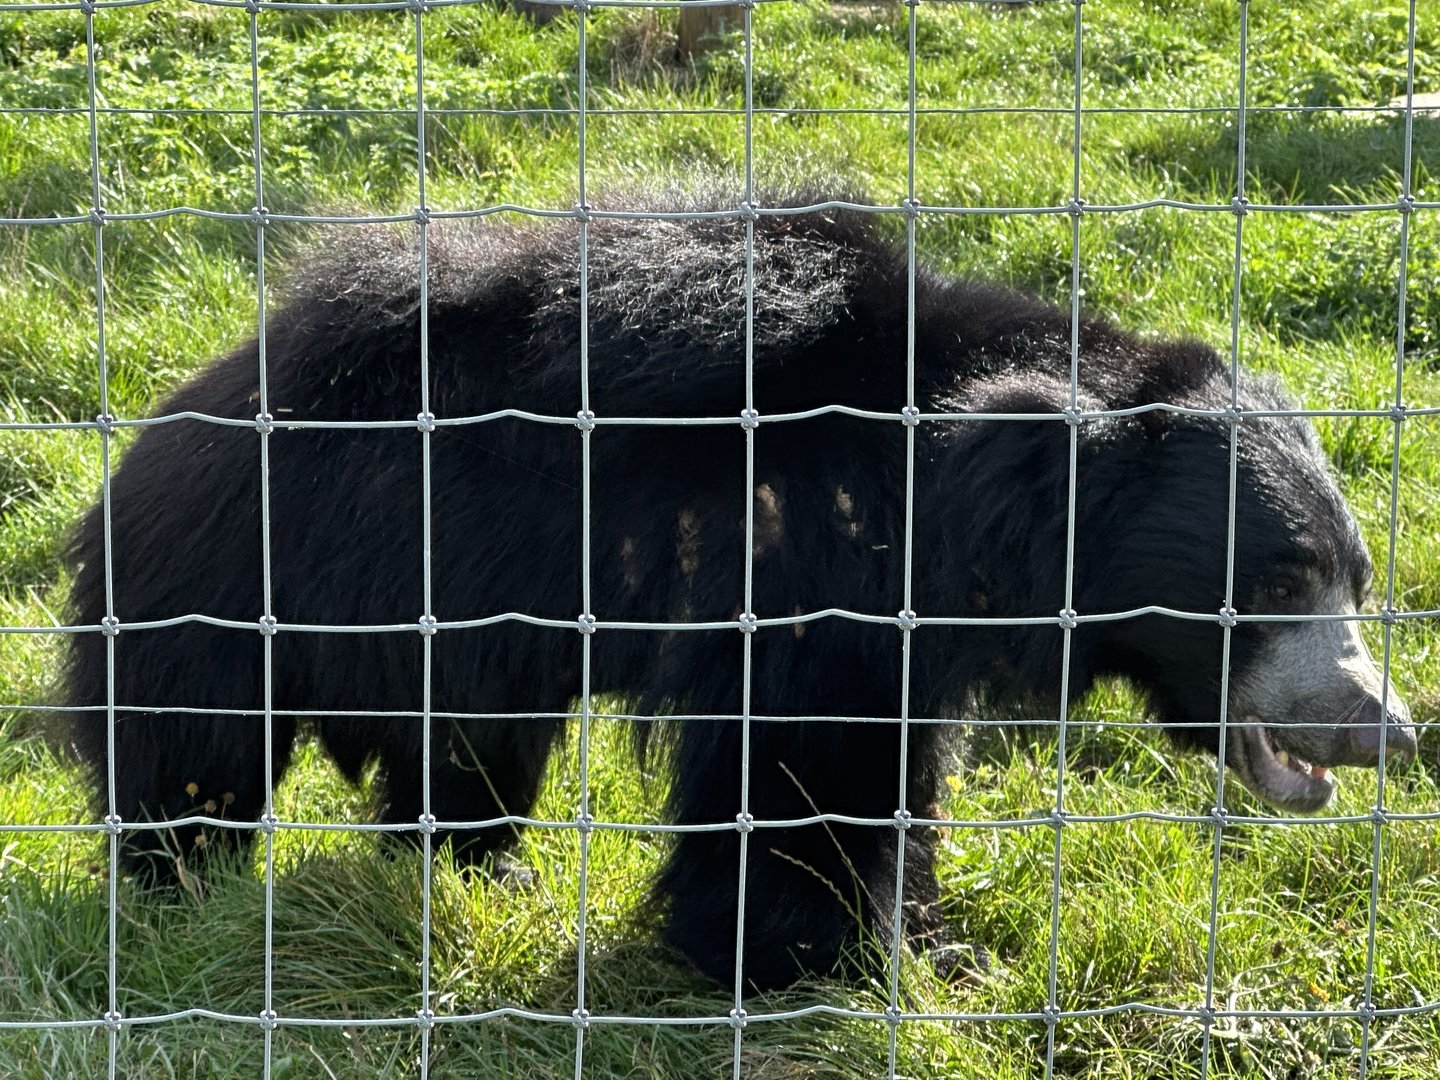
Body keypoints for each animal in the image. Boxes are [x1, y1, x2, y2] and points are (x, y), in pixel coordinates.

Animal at [64, 190, 1417, 991]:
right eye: (1278, 579)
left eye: (1354, 579)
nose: (1388, 728)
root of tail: (155, 433)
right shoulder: (811, 580)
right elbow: (805, 774)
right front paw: (805, 960)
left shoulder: (909, 633)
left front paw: (919, 943)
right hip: (234, 584)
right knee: (194, 754)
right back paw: (180, 887)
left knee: (466, 751)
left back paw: (471, 875)